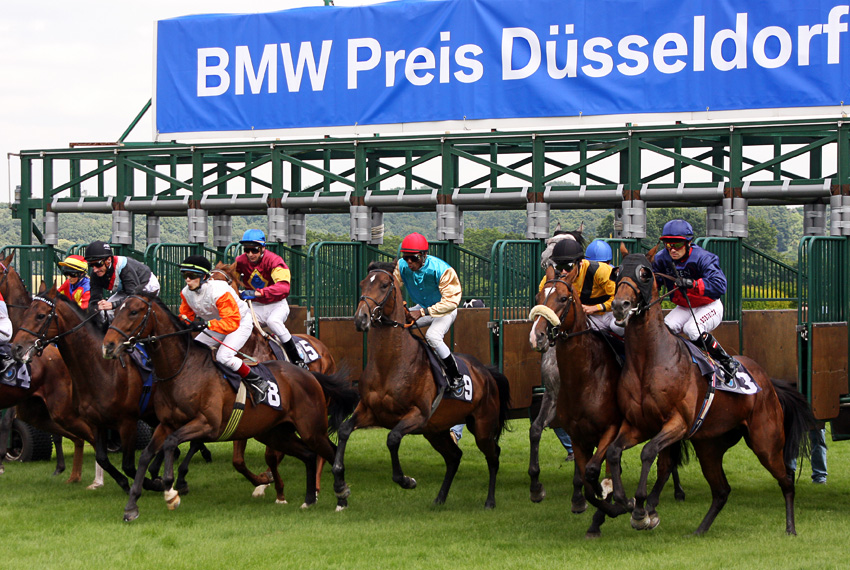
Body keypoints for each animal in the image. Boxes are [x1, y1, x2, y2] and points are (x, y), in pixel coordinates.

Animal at [101, 292, 356, 520]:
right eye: (116, 309)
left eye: (134, 312)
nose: (108, 346)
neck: (183, 370)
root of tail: (308, 374)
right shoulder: (166, 424)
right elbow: (145, 455)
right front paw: (132, 506)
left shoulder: (207, 424)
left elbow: (171, 443)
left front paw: (170, 491)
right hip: (274, 433)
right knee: (308, 455)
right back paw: (309, 499)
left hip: (311, 428)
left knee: (329, 451)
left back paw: (340, 497)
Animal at [334, 260, 510, 506]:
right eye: (363, 283)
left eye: (385, 285)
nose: (361, 318)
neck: (390, 364)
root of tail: (486, 372)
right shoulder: (370, 410)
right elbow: (343, 430)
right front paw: (340, 486)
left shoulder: (418, 414)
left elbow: (392, 438)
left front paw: (406, 480)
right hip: (436, 431)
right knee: (454, 457)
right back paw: (440, 498)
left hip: (482, 426)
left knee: (494, 456)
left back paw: (490, 501)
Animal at [528, 264, 684, 536]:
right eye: (539, 297)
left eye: (563, 298)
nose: (537, 336)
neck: (586, 374)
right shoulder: (570, 422)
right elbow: (541, 434)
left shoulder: (612, 427)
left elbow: (595, 470)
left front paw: (613, 500)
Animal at [608, 245, 812, 532]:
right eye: (617, 273)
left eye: (645, 274)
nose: (619, 306)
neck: (649, 360)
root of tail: (768, 382)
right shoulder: (638, 424)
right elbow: (615, 452)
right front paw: (624, 500)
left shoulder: (678, 424)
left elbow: (649, 454)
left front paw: (640, 508)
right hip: (710, 446)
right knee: (722, 490)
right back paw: (700, 530)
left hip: (766, 443)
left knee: (787, 478)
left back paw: (790, 528)